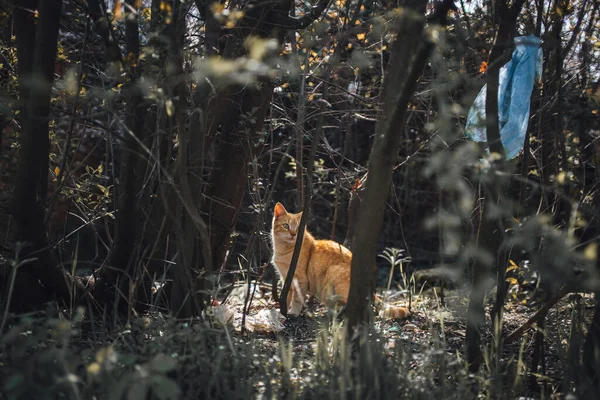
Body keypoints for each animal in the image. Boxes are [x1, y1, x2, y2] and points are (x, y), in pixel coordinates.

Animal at [270, 203, 408, 318]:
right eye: (286, 226)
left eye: (298, 228)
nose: (293, 234)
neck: (283, 249)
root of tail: (370, 288)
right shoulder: (286, 279)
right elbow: (286, 297)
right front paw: (282, 312)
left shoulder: (300, 280)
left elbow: (297, 299)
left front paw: (293, 312)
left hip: (332, 276)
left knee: (351, 305)